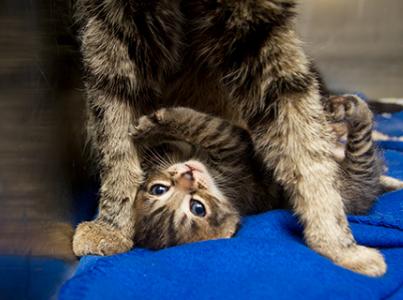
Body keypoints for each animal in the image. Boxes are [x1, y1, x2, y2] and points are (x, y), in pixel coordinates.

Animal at [73, 0, 388, 276]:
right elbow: (115, 133)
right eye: (159, 190)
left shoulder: (260, 27)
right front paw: (113, 224)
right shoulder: (109, 23)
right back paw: (352, 115)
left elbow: (301, 131)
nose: (187, 176)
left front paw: (337, 244)